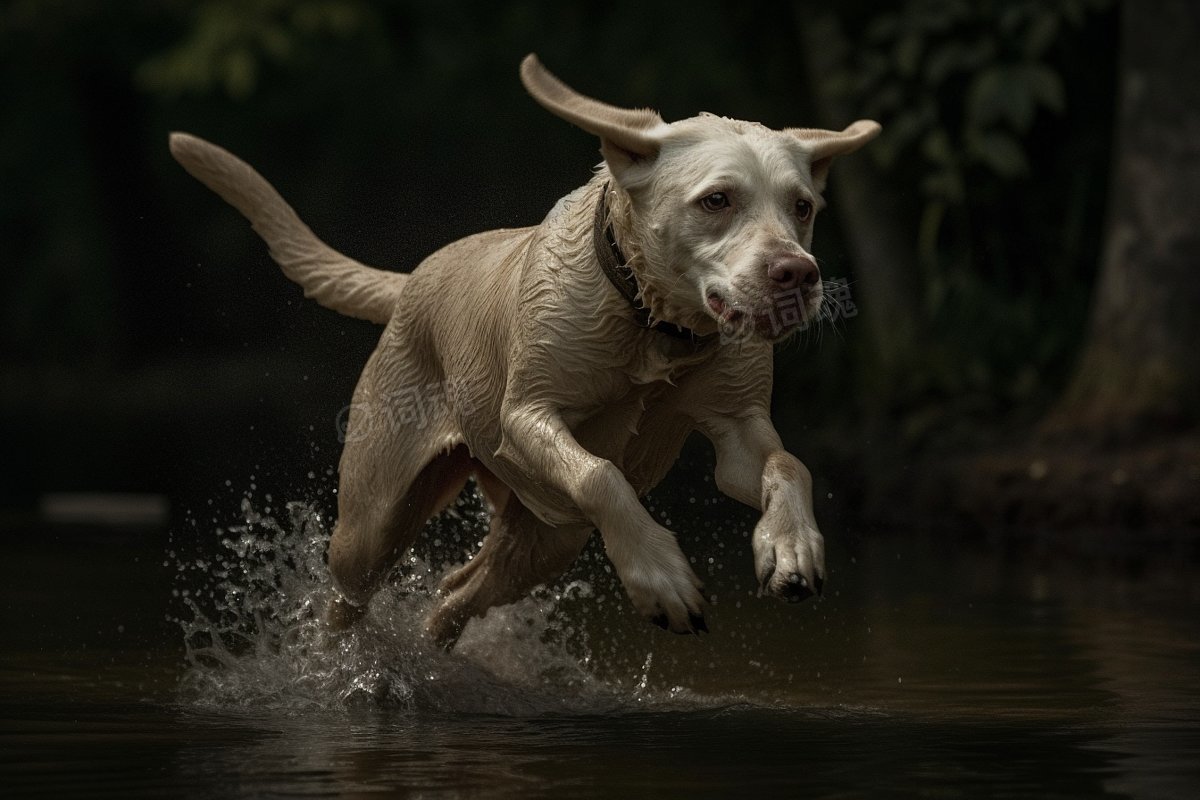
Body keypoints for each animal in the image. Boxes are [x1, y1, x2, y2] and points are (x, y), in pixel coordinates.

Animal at [169, 53, 878, 647]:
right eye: (717, 200)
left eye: (803, 207)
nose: (798, 273)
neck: (653, 328)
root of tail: (414, 279)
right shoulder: (529, 417)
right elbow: (599, 473)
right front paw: (663, 577)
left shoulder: (737, 428)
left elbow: (788, 464)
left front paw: (792, 549)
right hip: (375, 520)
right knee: (349, 593)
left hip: (546, 538)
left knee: (455, 595)